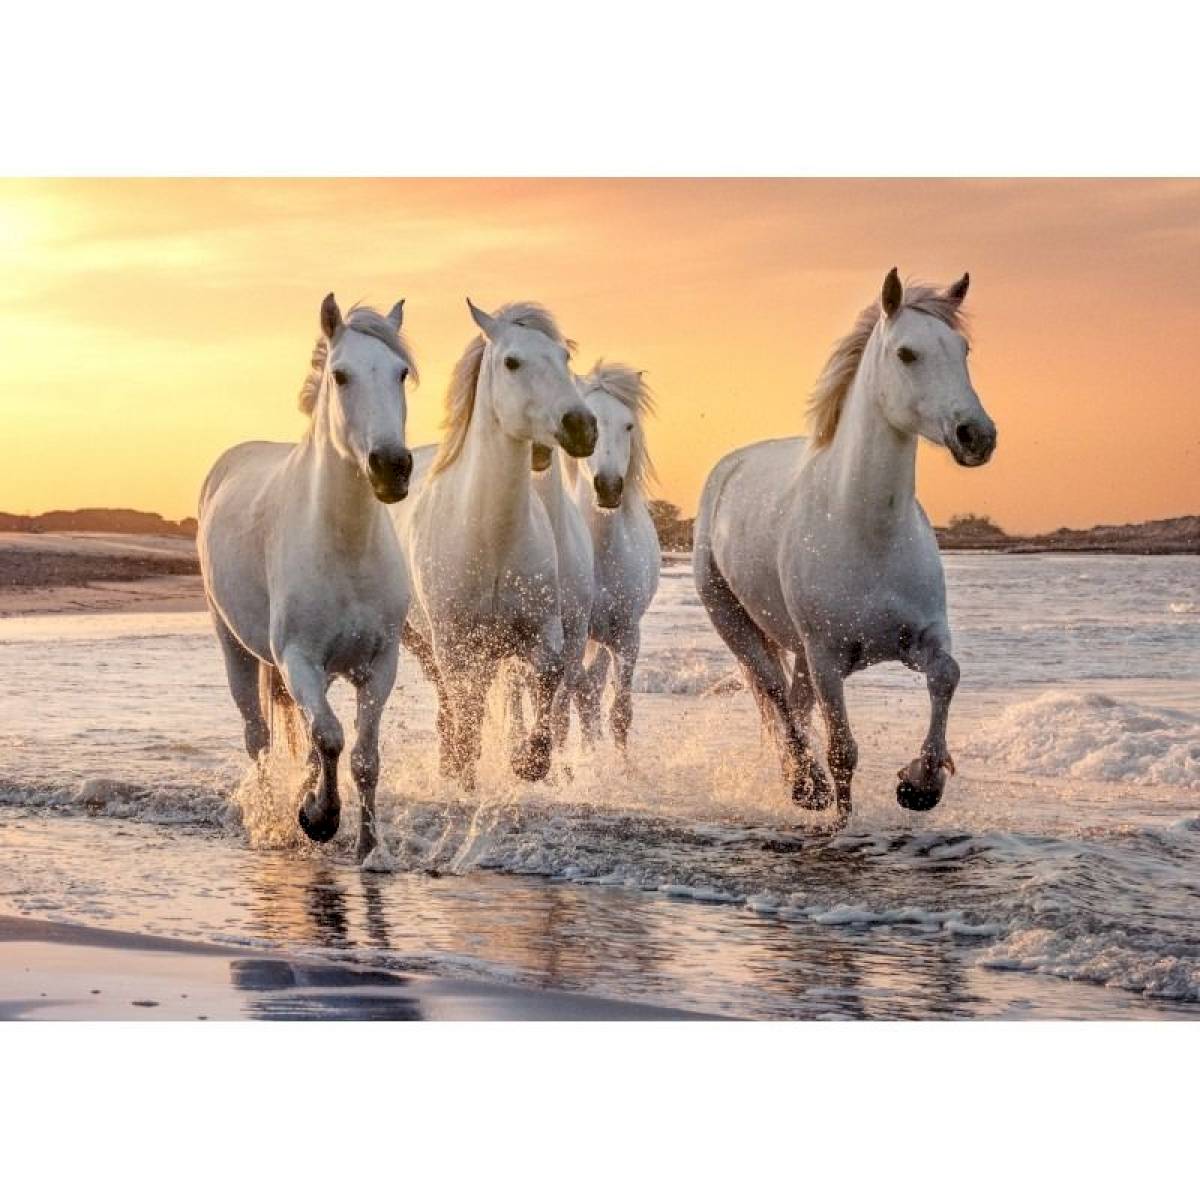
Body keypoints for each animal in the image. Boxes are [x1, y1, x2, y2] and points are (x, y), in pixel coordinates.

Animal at [198, 294, 417, 862]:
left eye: (401, 373)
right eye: (341, 375)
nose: (391, 466)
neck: (345, 545)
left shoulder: (380, 663)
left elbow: (362, 755)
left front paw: (368, 847)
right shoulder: (297, 659)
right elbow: (333, 738)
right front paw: (319, 818)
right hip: (236, 648)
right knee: (259, 738)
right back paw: (274, 819)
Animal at [392, 300, 597, 789]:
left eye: (565, 358)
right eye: (511, 362)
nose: (581, 426)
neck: (492, 539)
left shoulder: (542, 631)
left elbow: (548, 680)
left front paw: (529, 762)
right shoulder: (454, 643)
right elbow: (466, 709)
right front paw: (465, 772)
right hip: (422, 640)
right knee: (451, 703)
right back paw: (452, 766)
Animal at [693, 269, 996, 822]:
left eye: (962, 349)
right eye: (906, 353)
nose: (976, 435)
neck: (867, 532)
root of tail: (729, 468)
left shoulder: (921, 638)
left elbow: (947, 675)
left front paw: (921, 783)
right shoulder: (828, 657)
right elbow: (842, 751)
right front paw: (842, 819)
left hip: (799, 651)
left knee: (794, 702)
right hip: (736, 623)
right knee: (776, 695)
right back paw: (805, 785)